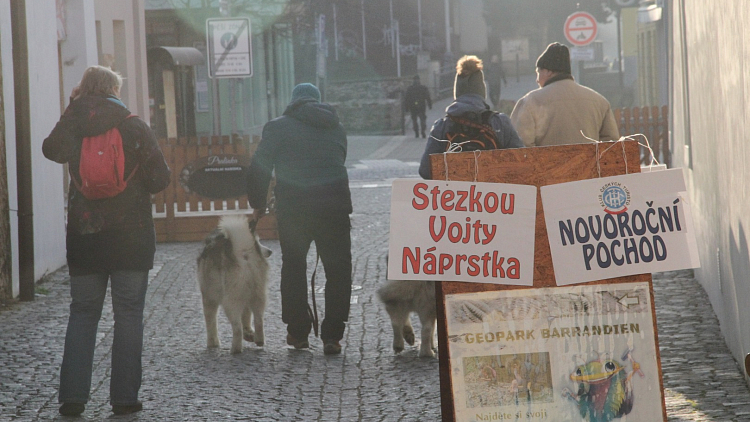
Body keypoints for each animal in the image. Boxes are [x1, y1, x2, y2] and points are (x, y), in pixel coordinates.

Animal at [197, 214, 274, 352]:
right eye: (257, 242)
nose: (270, 251)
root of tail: (243, 253)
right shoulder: (247, 296)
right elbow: (246, 315)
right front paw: (248, 332)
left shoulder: (208, 297)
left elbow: (211, 322)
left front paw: (212, 343)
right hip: (258, 294)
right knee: (259, 319)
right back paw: (259, 339)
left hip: (230, 299)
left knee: (237, 327)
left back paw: (235, 348)